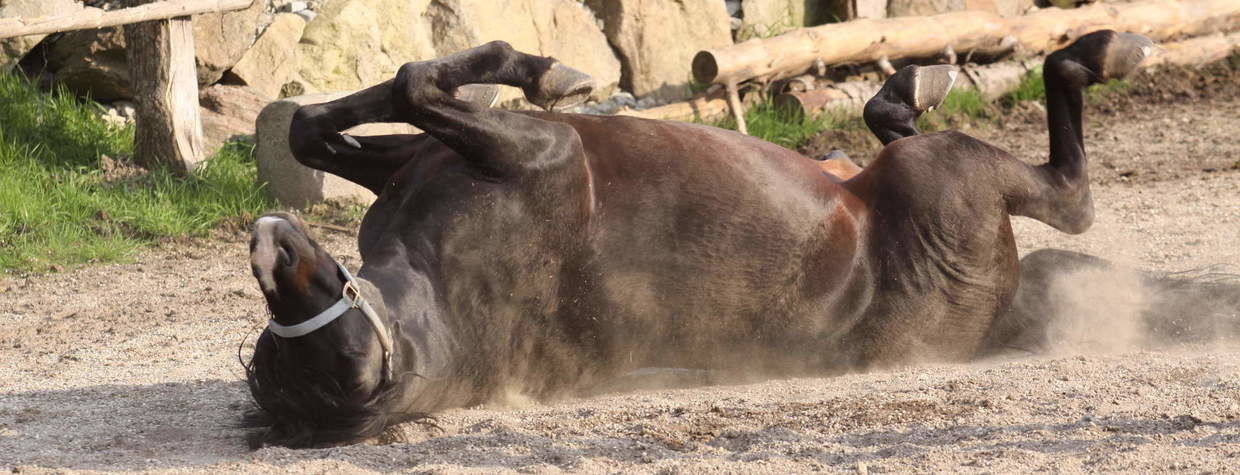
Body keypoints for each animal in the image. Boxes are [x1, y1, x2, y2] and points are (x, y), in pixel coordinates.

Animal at [239, 30, 1220, 451]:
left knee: (882, 125)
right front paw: (544, 68)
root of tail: (994, 312)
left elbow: (325, 123)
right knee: (1072, 194)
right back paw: (1104, 48)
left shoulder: (421, 158)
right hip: (950, 175)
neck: (437, 309)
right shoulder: (529, 148)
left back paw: (914, 80)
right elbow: (415, 80)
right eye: (320, 351)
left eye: (284, 313)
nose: (268, 242)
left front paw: (534, 68)